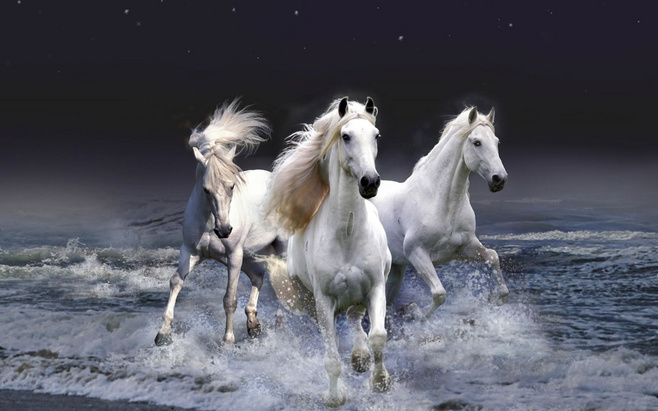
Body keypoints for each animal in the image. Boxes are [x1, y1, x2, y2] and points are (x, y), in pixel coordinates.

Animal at [155, 99, 286, 346]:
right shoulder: (191, 251)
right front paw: (163, 334)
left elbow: (229, 299)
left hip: (277, 248)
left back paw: (279, 322)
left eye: (232, 185)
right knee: (258, 276)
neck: (209, 223)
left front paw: (228, 341)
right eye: (206, 189)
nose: (224, 230)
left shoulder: (233, 256)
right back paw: (253, 325)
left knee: (282, 281)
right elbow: (176, 281)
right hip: (251, 253)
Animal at [261, 97, 392, 407]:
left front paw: (380, 382)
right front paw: (335, 397)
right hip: (312, 303)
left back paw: (360, 358)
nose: (370, 182)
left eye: (376, 136)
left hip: (361, 293)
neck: (347, 234)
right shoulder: (324, 301)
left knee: (355, 318)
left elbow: (378, 336)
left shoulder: (375, 287)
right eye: (346, 136)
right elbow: (331, 358)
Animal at [369, 106, 509, 319]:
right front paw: (414, 311)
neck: (442, 204)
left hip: (396, 270)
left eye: (496, 141)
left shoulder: (464, 248)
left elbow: (493, 257)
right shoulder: (417, 253)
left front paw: (495, 298)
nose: (499, 179)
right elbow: (439, 294)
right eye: (477, 142)